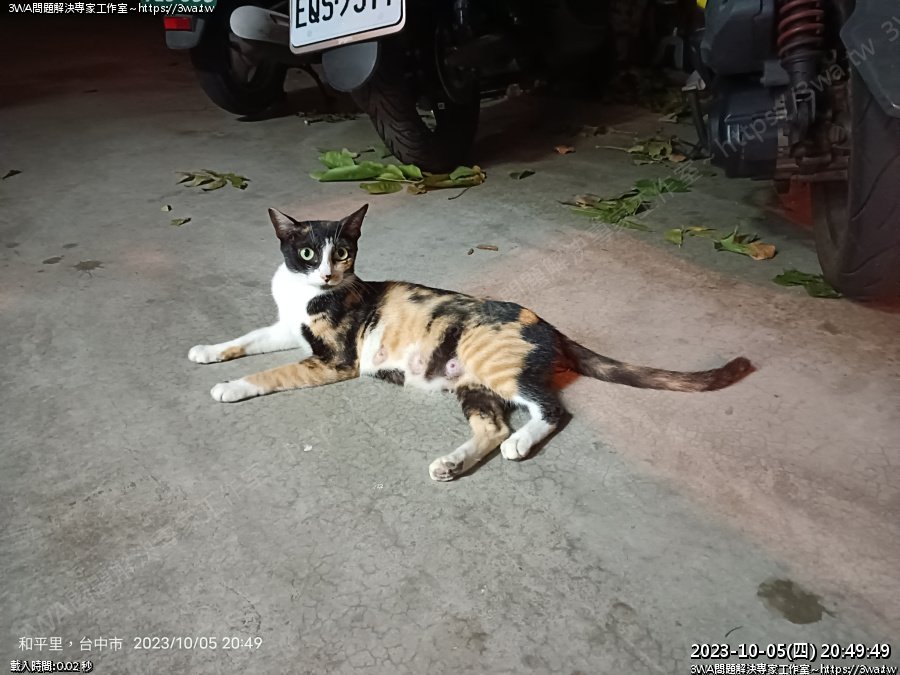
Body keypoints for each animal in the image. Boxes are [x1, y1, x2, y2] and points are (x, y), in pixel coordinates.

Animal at [189, 204, 754, 481]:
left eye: (343, 252)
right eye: (306, 253)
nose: (327, 273)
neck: (306, 296)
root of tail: (551, 326)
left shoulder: (334, 358)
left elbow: (274, 371)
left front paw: (231, 386)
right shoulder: (287, 328)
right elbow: (250, 338)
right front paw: (207, 351)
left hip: (498, 365)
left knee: (551, 411)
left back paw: (521, 445)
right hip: (471, 383)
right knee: (495, 425)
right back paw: (452, 463)